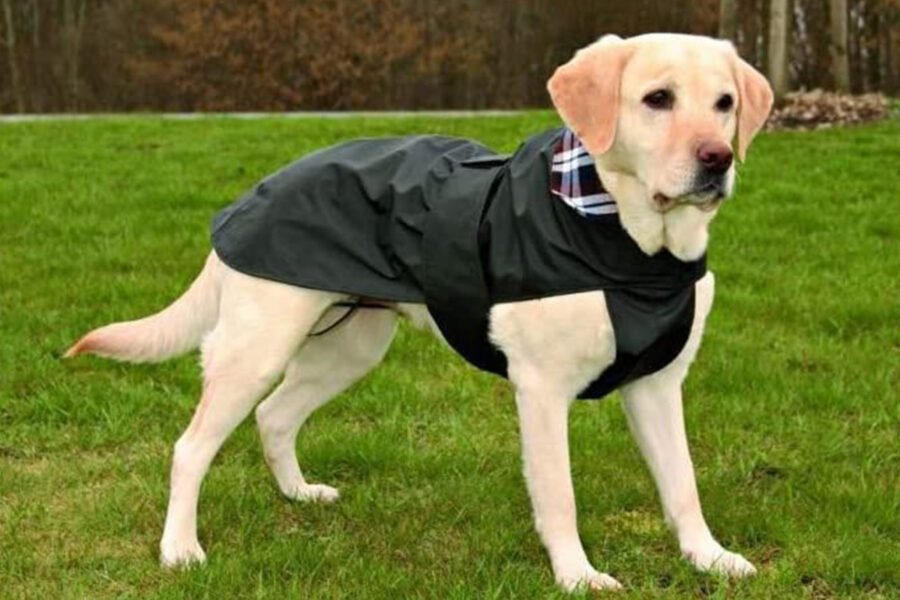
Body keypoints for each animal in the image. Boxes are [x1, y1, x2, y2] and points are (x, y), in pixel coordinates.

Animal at [68, 34, 772, 592]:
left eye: (724, 104)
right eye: (657, 99)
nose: (717, 159)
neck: (630, 247)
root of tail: (254, 192)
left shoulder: (657, 383)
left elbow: (682, 484)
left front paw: (709, 558)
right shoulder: (541, 390)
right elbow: (560, 495)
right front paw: (577, 576)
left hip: (350, 349)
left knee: (274, 416)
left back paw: (299, 494)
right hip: (256, 348)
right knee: (190, 448)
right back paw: (180, 549)